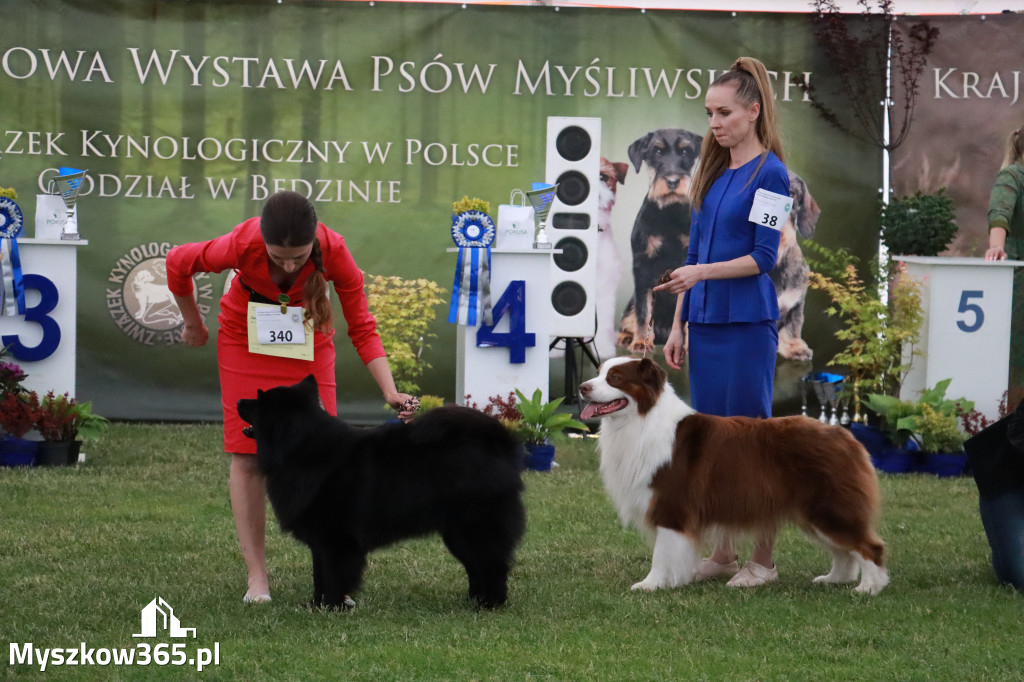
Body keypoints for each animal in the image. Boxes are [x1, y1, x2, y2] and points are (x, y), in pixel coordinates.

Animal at [237, 374, 528, 606]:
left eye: (258, 400)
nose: (238, 401)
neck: (303, 449)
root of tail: (497, 445)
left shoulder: (335, 539)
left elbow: (333, 575)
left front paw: (332, 606)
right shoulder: (320, 541)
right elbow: (318, 574)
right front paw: (315, 605)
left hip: (476, 529)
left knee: (492, 565)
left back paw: (489, 604)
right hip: (457, 533)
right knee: (476, 566)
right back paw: (474, 600)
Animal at [585, 358, 888, 593]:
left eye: (615, 378)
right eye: (598, 372)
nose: (582, 387)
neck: (642, 419)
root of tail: (844, 435)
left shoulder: (671, 507)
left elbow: (661, 554)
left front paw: (651, 585)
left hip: (829, 506)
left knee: (869, 546)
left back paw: (869, 587)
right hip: (813, 512)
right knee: (844, 551)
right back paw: (834, 579)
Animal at [614, 127, 704, 352]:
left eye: (685, 151)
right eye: (657, 151)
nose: (672, 181)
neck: (669, 213)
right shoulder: (643, 267)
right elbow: (643, 311)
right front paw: (640, 342)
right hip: (631, 303)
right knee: (630, 317)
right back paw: (627, 337)